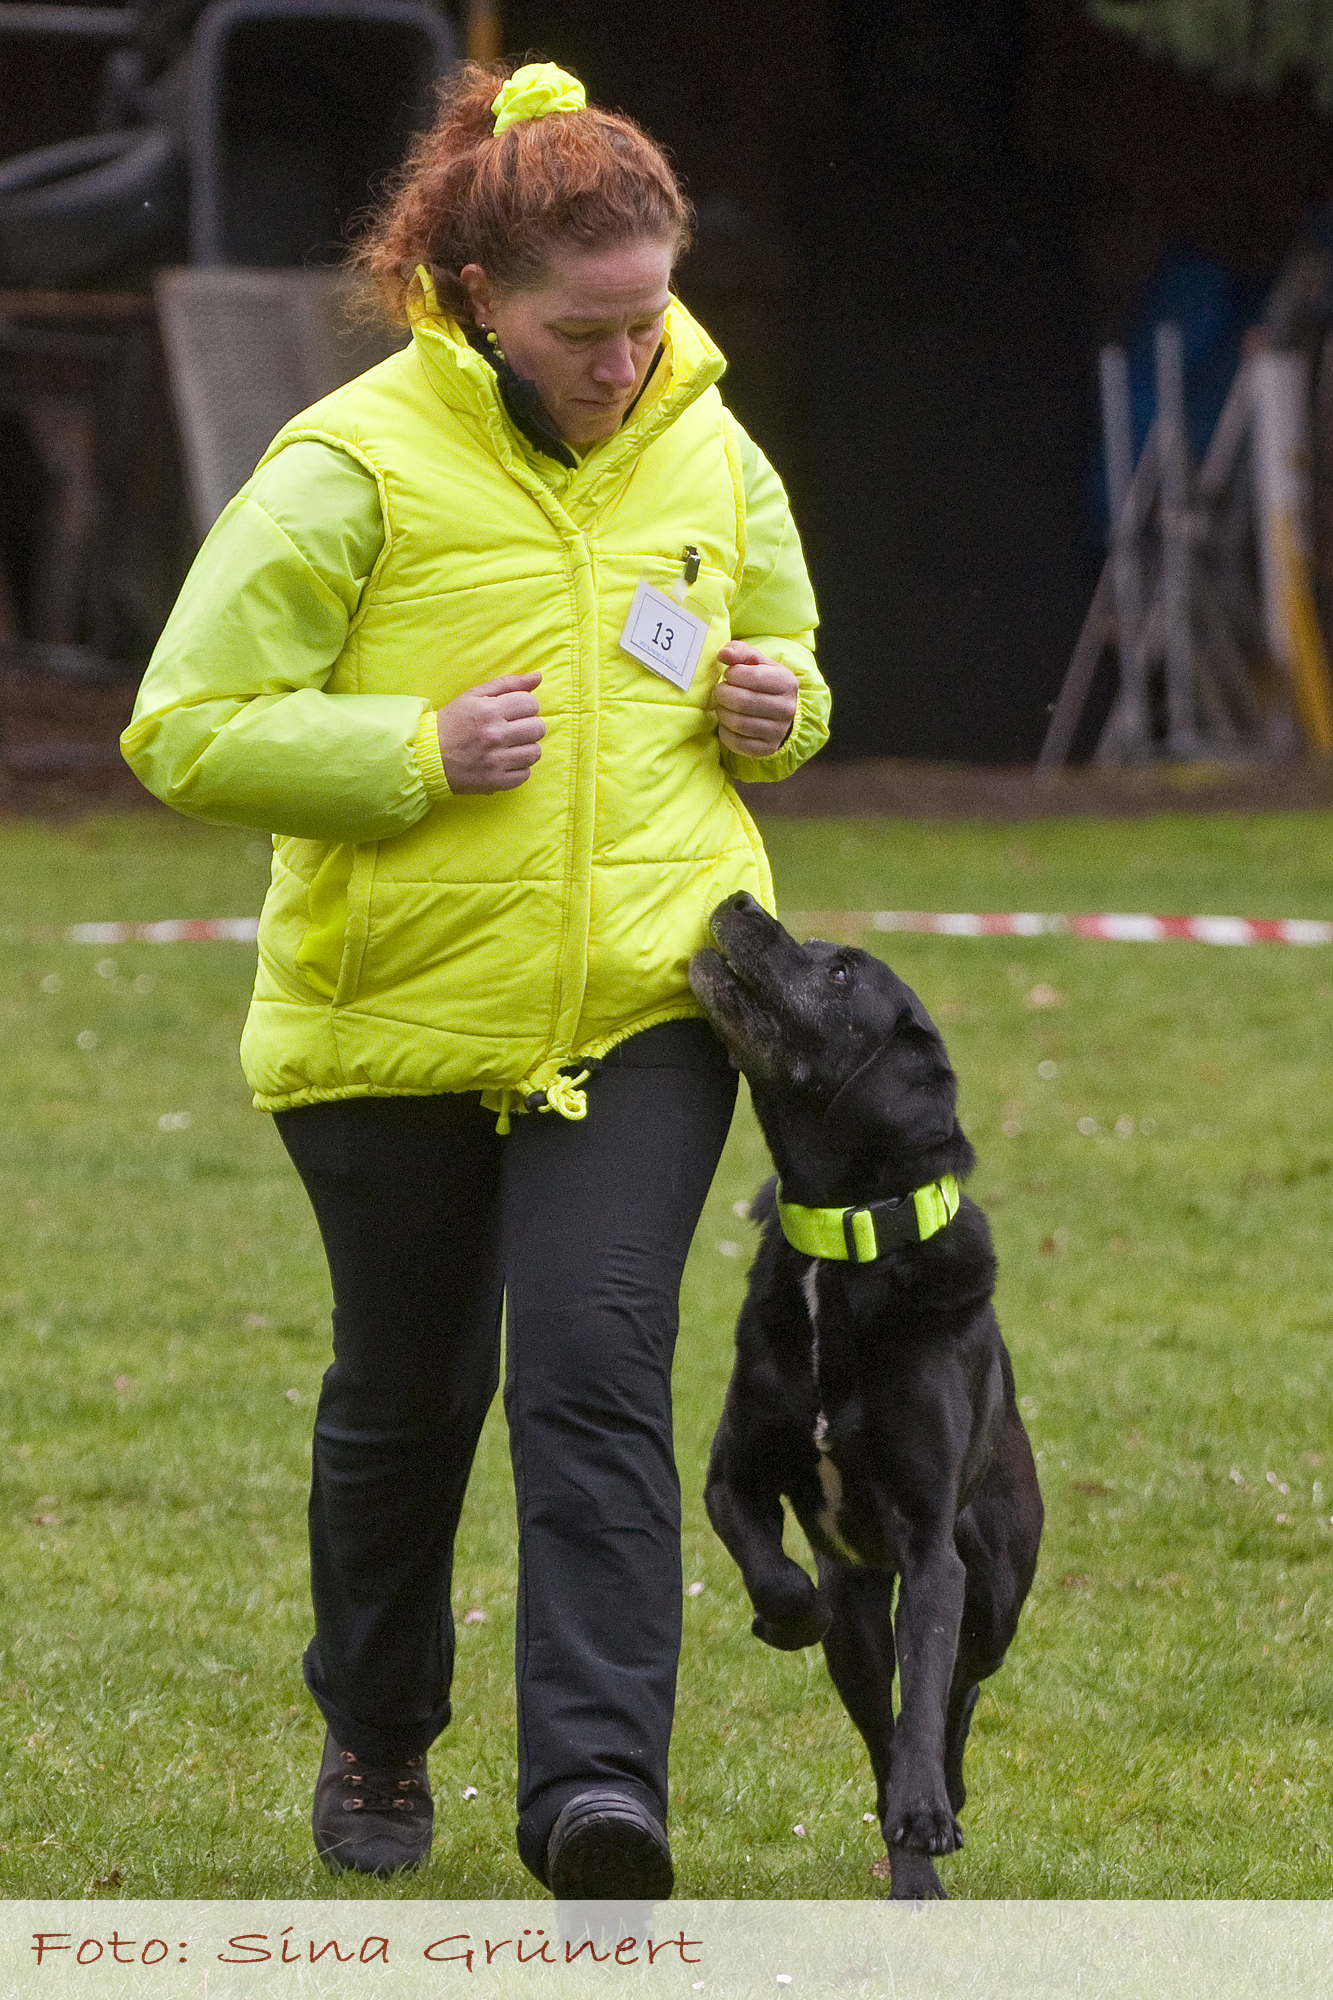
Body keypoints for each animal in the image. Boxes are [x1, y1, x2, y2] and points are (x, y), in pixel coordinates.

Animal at [688, 900, 1040, 1896]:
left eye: (843, 972)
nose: (736, 904)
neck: (838, 1247)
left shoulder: (930, 1553)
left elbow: (923, 1705)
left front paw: (925, 1822)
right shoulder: (734, 1477)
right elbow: (772, 1568)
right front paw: (782, 1616)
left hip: (992, 1595)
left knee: (955, 1693)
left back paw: (938, 1811)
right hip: (860, 1620)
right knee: (876, 1711)